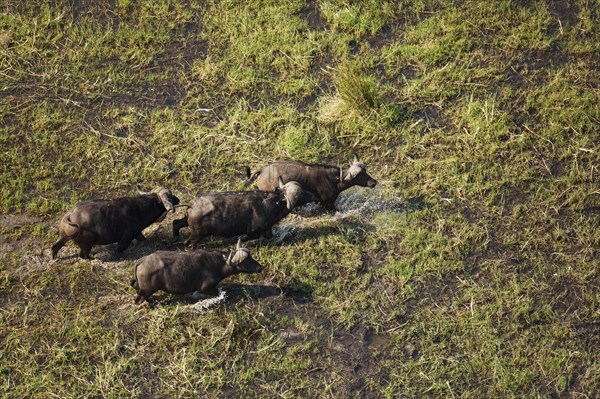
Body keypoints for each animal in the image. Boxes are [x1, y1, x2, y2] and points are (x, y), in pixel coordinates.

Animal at [50, 187, 178, 260]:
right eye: (171, 197)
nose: (178, 199)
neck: (139, 209)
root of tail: (69, 216)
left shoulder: (137, 233)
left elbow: (143, 239)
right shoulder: (126, 239)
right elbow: (118, 250)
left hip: (64, 237)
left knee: (55, 247)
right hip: (87, 244)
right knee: (84, 256)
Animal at [244, 155, 376, 212]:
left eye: (365, 171)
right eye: (359, 175)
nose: (373, 182)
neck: (334, 180)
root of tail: (262, 171)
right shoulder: (328, 204)